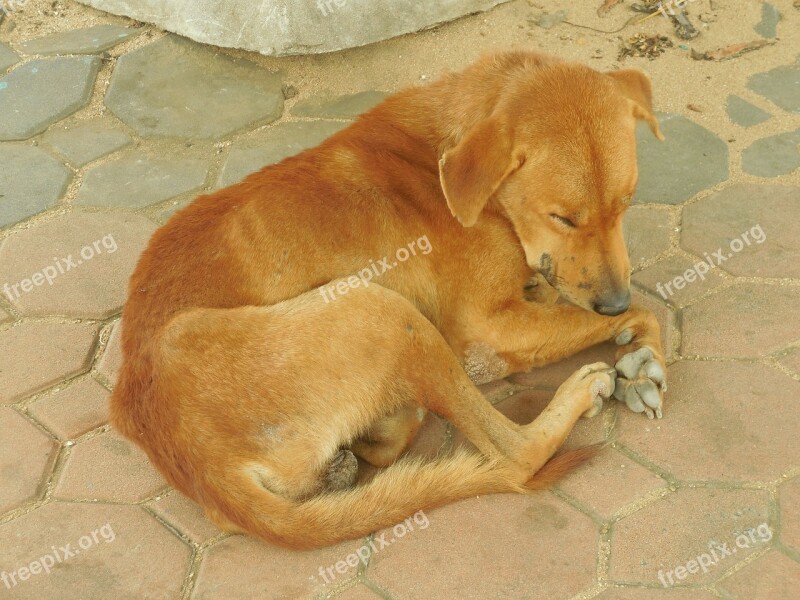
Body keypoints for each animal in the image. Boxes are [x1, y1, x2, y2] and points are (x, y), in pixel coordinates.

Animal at [109, 51, 664, 548]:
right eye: (564, 218)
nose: (613, 304)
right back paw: (576, 393)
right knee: (513, 453)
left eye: (626, 204)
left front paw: (638, 355)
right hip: (385, 312)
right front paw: (642, 347)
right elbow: (647, 308)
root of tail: (199, 468)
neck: (442, 156)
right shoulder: (487, 330)